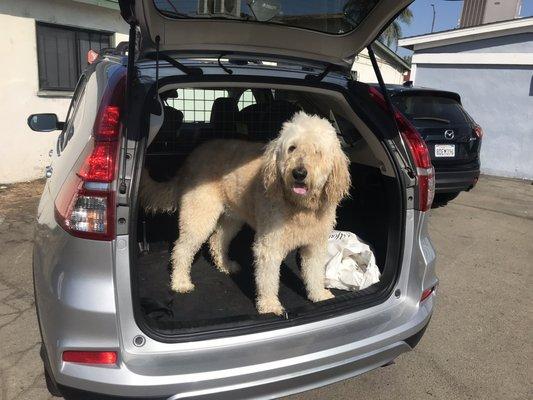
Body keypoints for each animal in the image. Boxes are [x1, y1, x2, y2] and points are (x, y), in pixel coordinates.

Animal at [139, 111, 352, 316]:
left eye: (318, 151)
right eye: (292, 148)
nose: (299, 173)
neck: (299, 207)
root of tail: (191, 157)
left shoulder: (315, 245)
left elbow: (314, 274)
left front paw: (319, 295)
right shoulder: (269, 246)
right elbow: (268, 280)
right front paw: (269, 306)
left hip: (232, 217)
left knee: (217, 240)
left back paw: (225, 265)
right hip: (199, 215)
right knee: (182, 249)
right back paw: (180, 282)